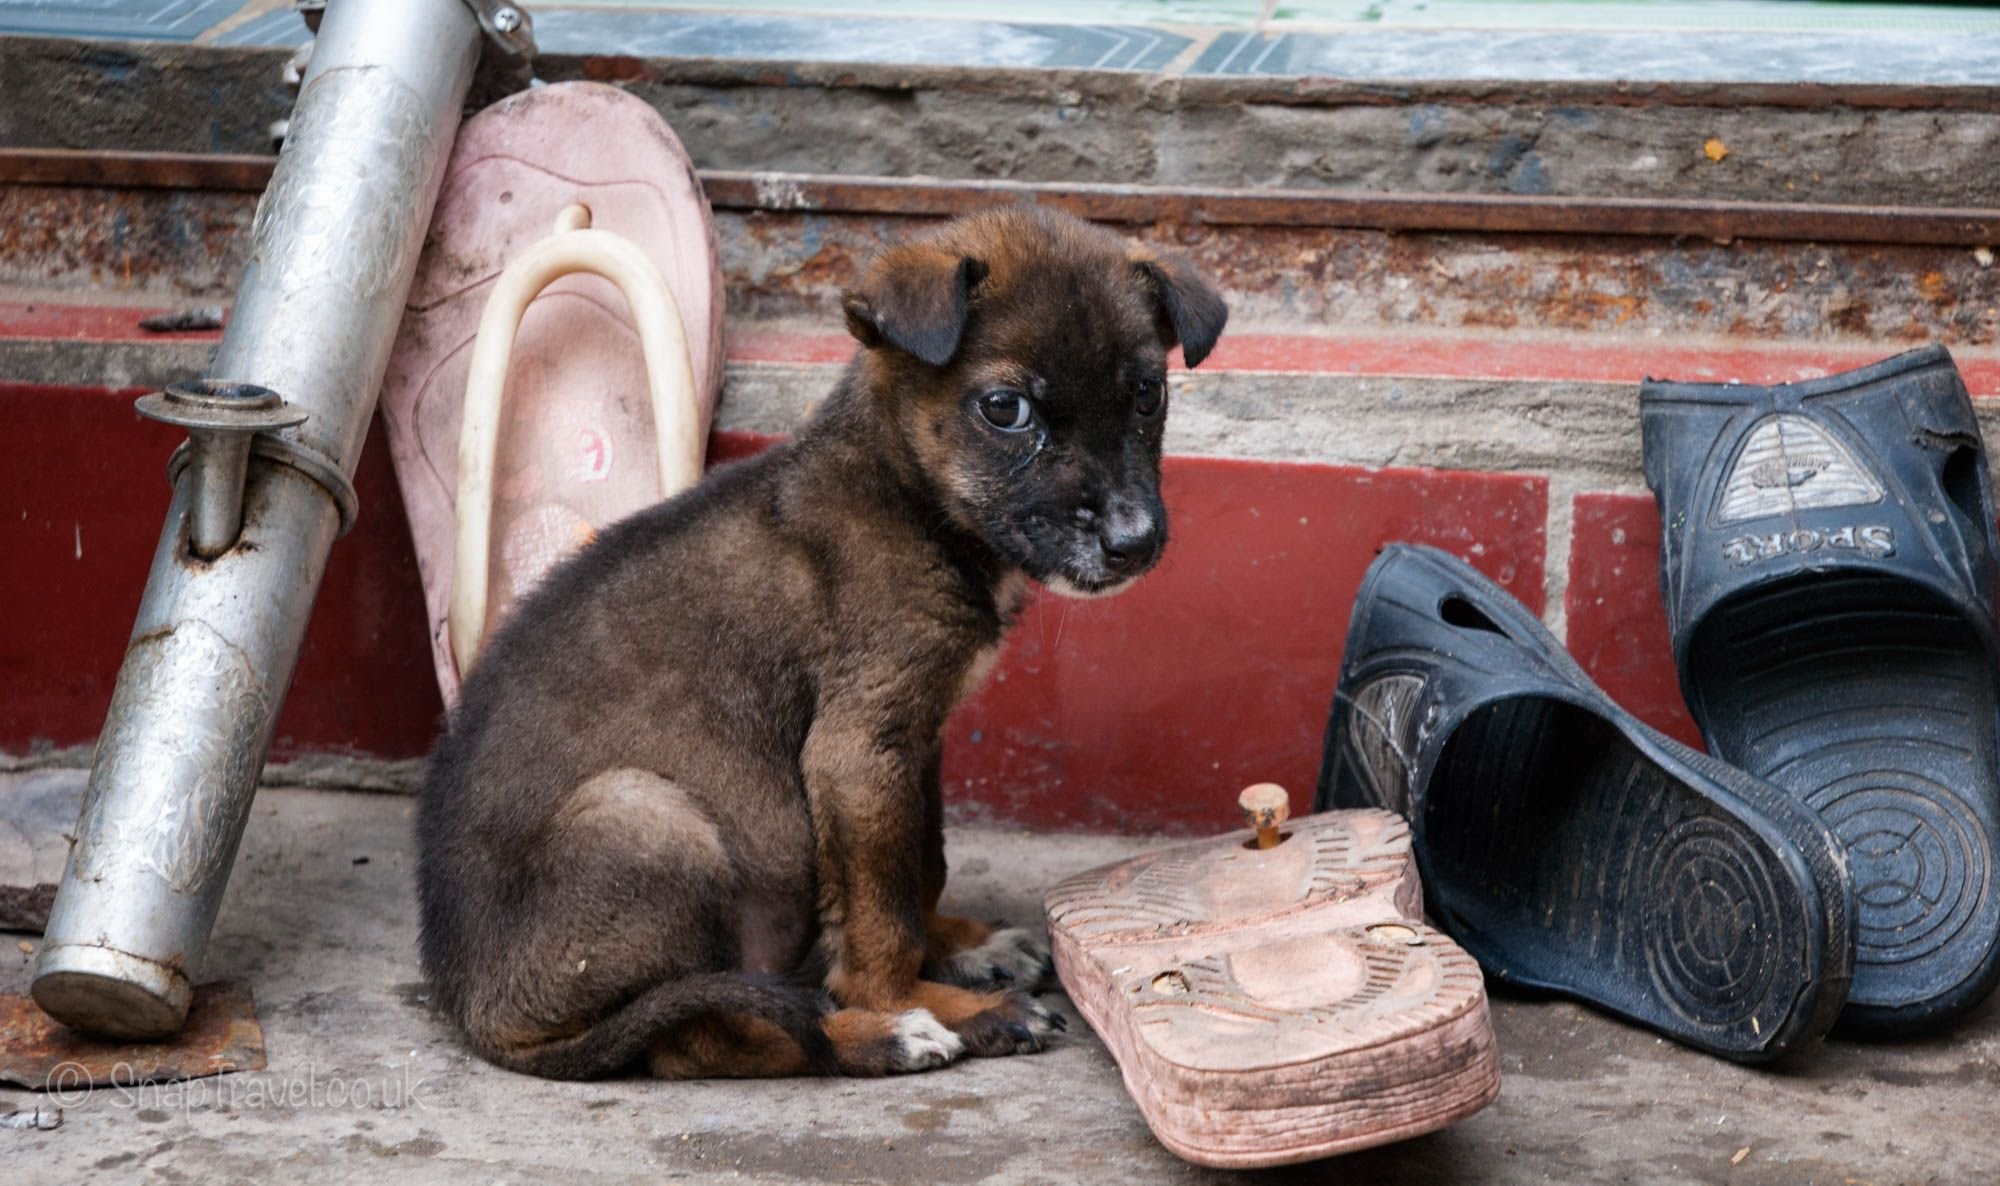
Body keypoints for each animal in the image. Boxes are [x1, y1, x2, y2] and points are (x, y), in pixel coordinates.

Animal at [420, 208, 1224, 1080]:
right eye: (1006, 409)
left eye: (1147, 394)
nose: (1134, 543)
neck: (908, 494)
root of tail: (478, 1012)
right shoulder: (859, 746)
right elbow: (881, 913)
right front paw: (911, 999)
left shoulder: (914, 740)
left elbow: (920, 864)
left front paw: (957, 946)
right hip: (645, 815)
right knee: (704, 1036)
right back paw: (878, 1035)